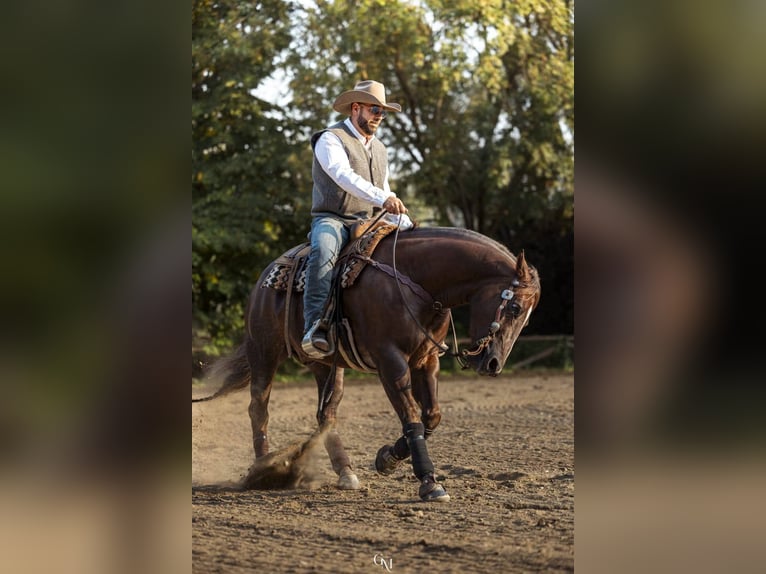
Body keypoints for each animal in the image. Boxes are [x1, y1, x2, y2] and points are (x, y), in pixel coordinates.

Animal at [193, 225, 541, 502]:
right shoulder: (390, 360)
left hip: (327, 365)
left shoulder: (426, 360)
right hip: (264, 352)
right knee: (259, 409)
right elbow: (411, 417)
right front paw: (429, 483)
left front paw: (387, 458)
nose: (493, 364)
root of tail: (265, 277)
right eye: (514, 308)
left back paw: (345, 472)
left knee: (326, 414)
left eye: (526, 319)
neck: (416, 281)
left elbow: (431, 416)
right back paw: (264, 468)